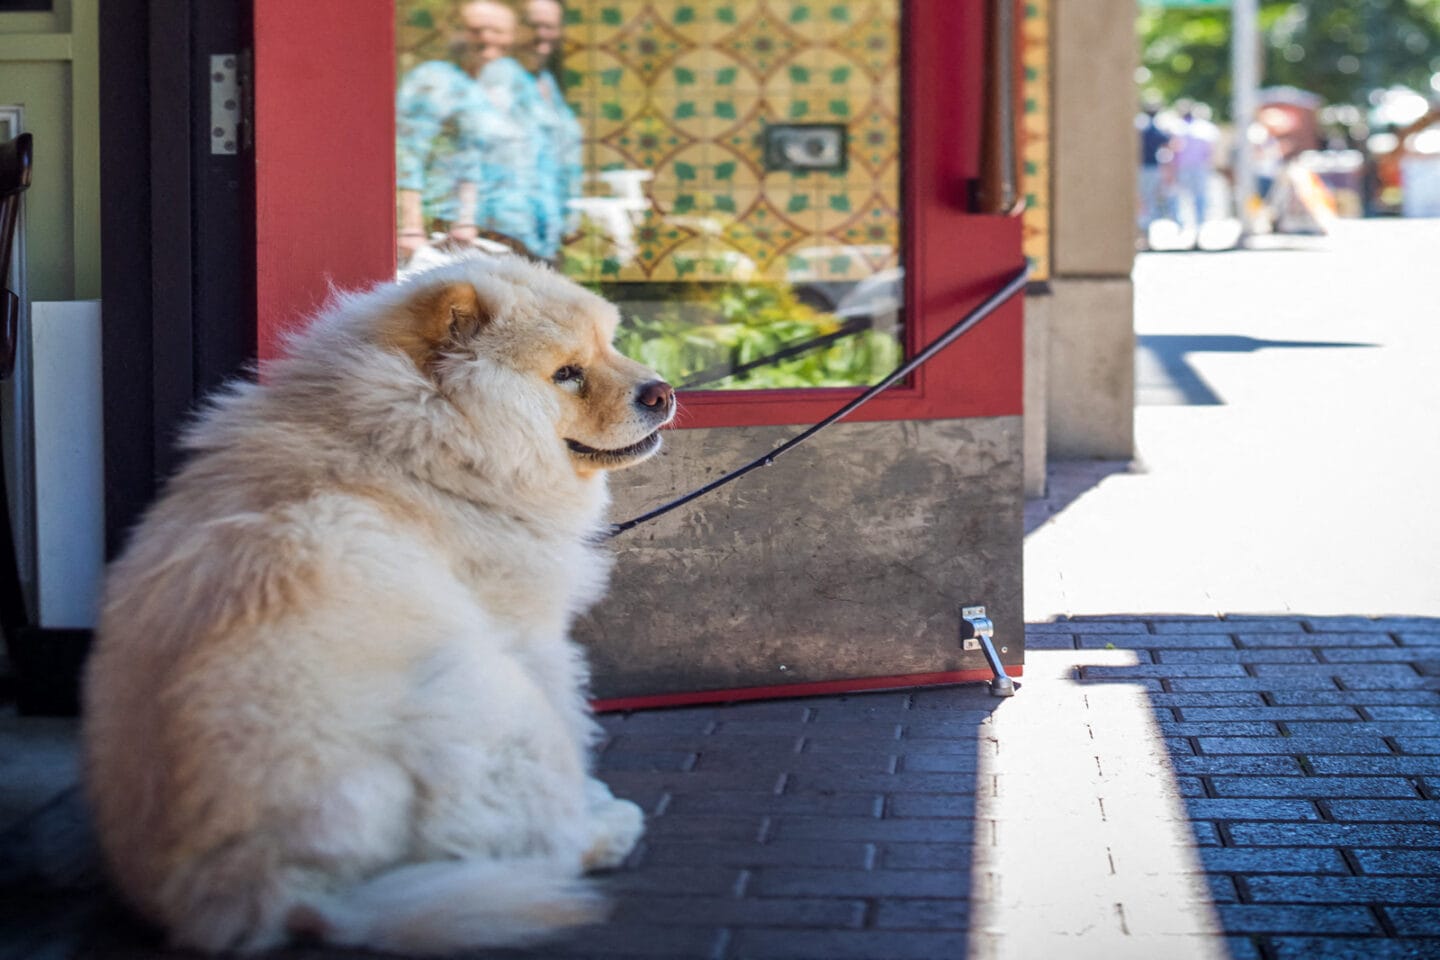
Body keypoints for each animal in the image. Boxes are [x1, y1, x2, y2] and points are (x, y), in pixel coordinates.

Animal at [81, 253, 676, 955]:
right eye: (566, 374)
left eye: (610, 346)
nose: (662, 391)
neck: (422, 446)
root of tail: (272, 886)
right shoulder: (529, 637)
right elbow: (574, 725)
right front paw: (594, 799)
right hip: (490, 695)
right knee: (541, 834)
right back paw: (607, 829)